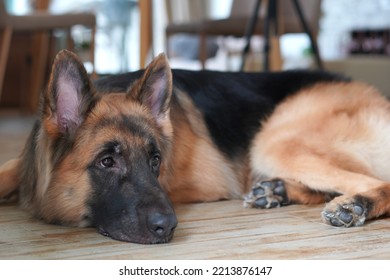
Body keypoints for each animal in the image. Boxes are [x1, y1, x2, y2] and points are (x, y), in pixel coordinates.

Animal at [0, 50, 390, 245]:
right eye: (107, 161)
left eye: (156, 160)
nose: (169, 227)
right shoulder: (22, 164)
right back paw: (275, 191)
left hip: (274, 142)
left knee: (376, 181)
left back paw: (354, 205)